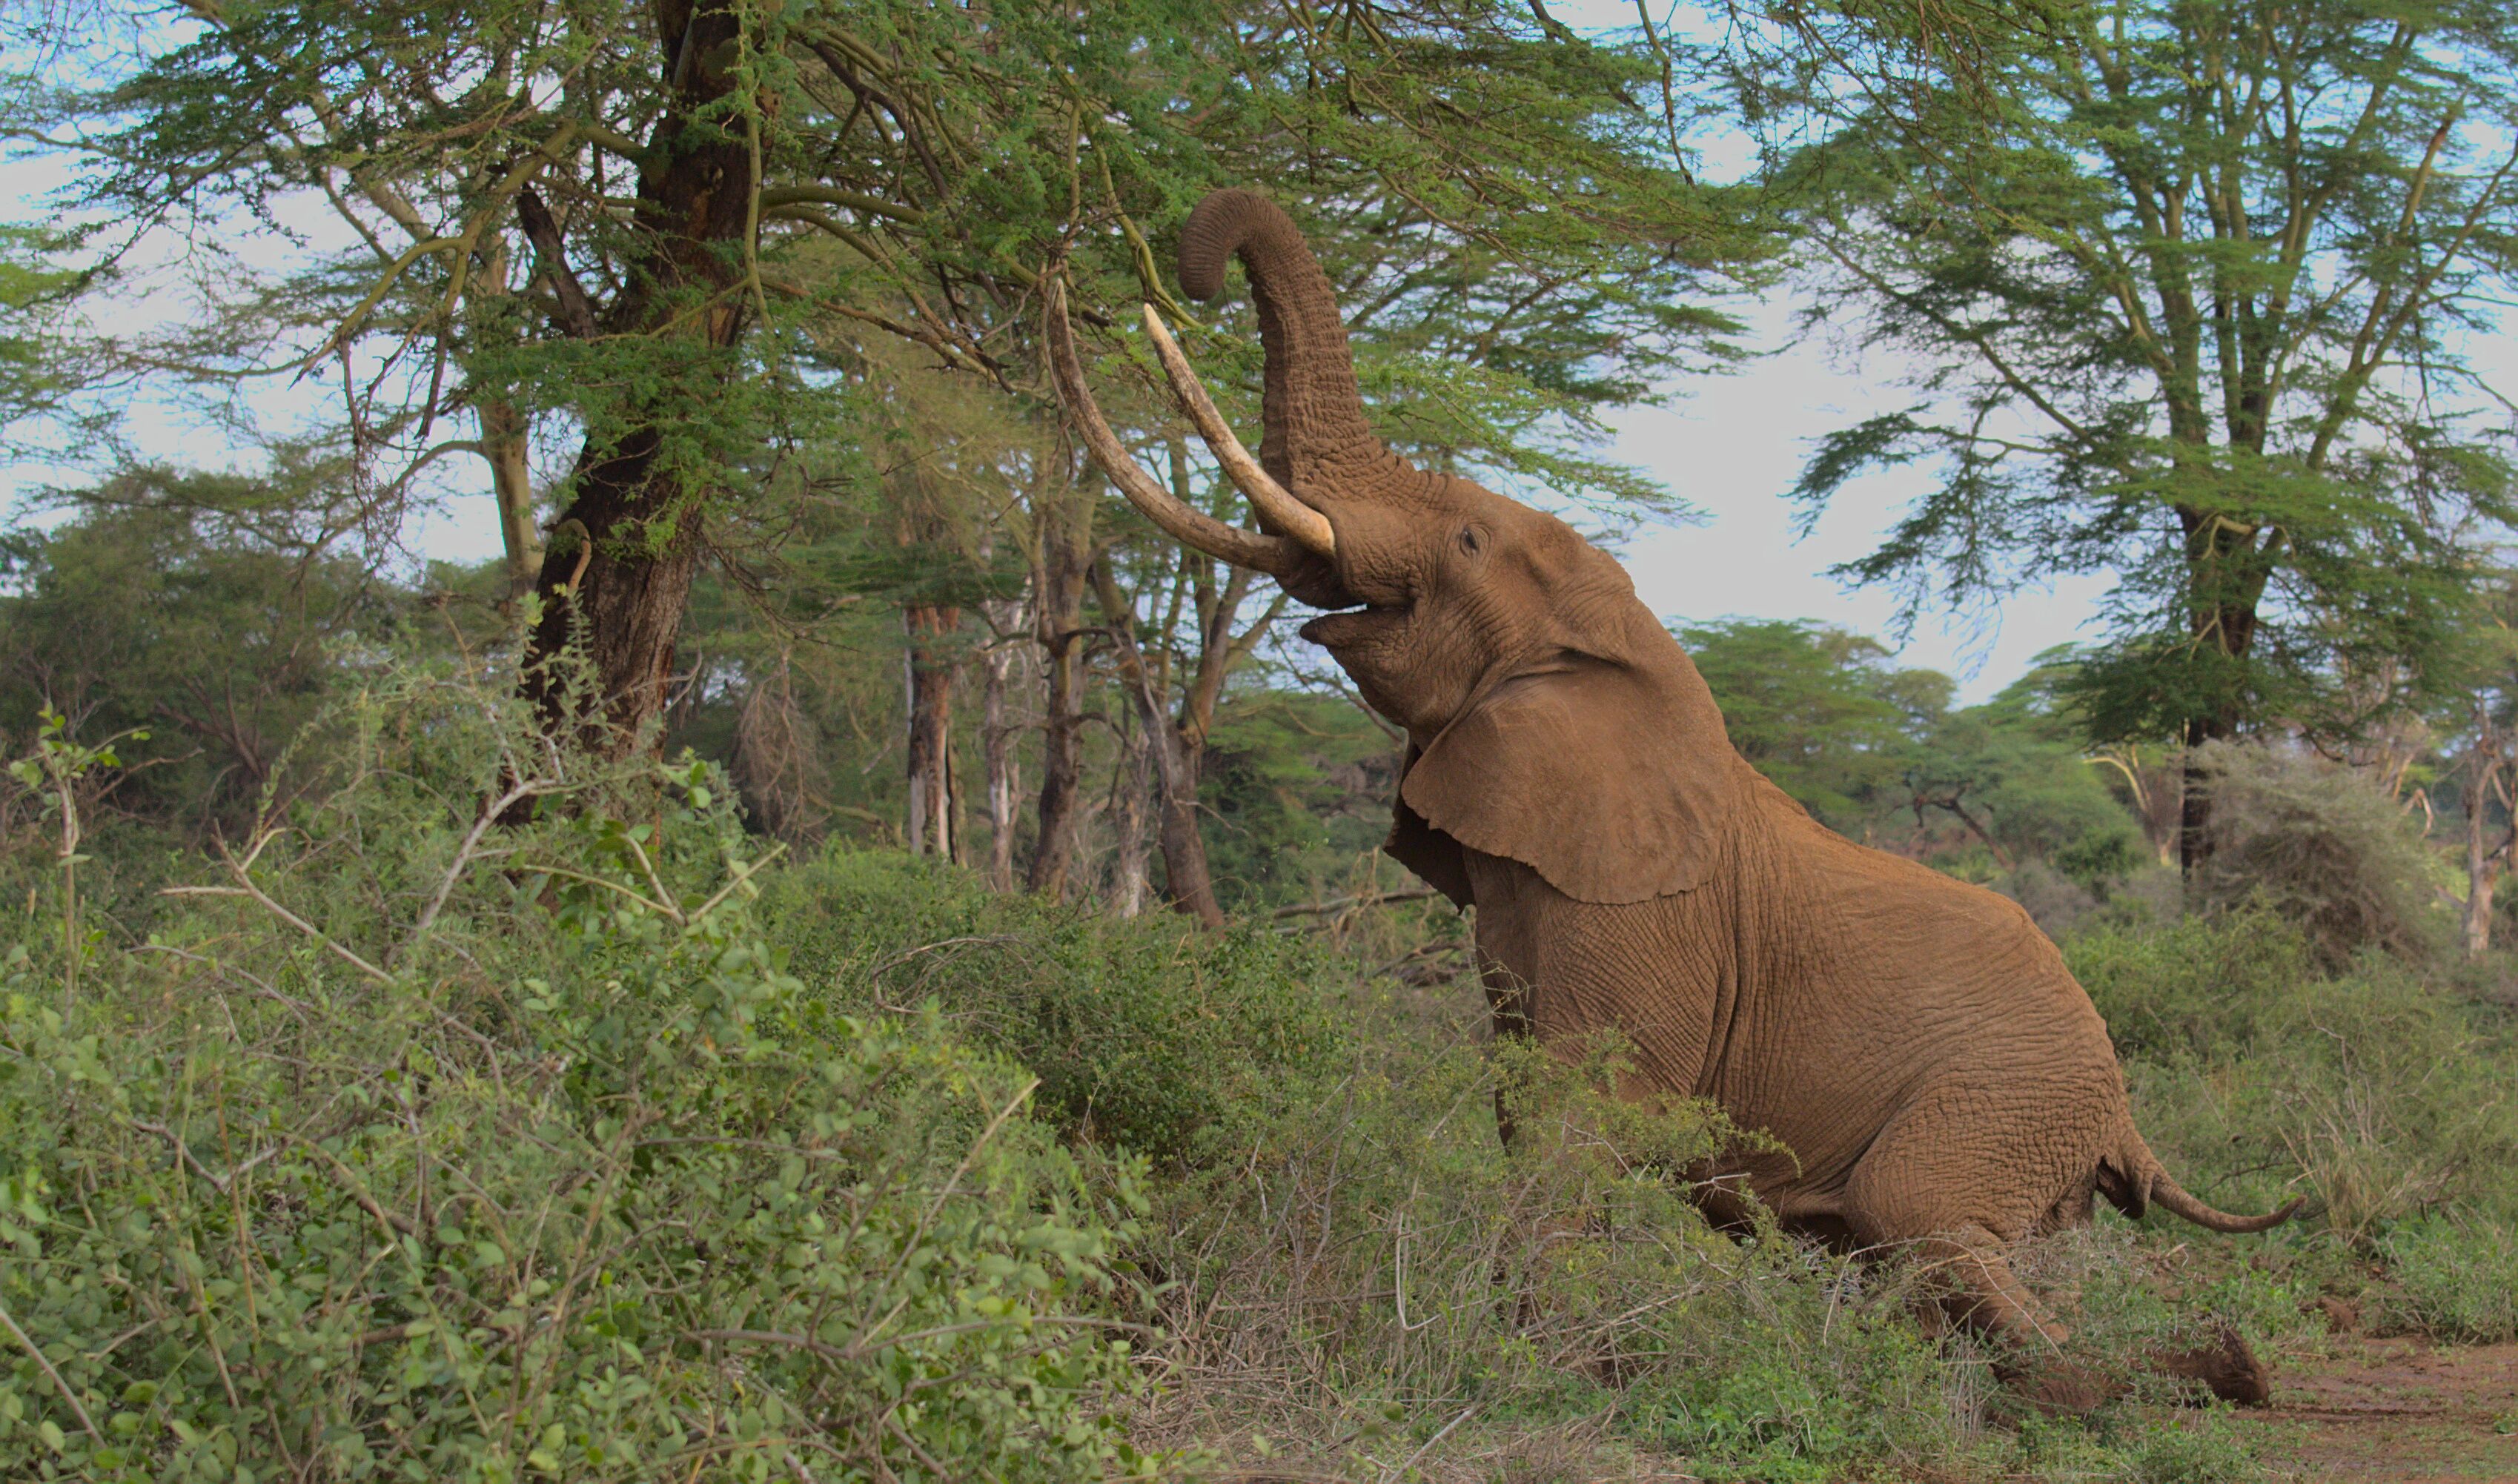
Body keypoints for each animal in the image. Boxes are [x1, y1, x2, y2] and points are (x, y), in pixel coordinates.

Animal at [1047, 188, 2299, 1408]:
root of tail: (2122, 1100)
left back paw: (2185, 1375)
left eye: (1465, 537)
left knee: (1914, 1213)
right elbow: (1521, 1110)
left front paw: (1547, 1378)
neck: (1620, 646)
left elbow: (1580, 1115)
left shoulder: (1647, 918)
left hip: (2008, 1091)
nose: (1186, 270)